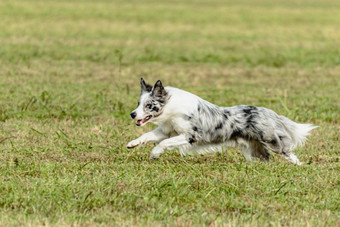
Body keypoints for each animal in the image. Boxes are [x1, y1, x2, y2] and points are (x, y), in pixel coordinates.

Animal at [126, 79, 318, 164]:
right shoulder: (166, 130)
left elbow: (164, 143)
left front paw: (154, 154)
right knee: (266, 158)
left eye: (149, 105)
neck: (170, 107)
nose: (132, 114)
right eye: (138, 103)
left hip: (272, 142)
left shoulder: (190, 136)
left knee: (288, 153)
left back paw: (297, 165)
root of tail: (270, 112)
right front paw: (132, 144)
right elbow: (147, 135)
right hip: (253, 148)